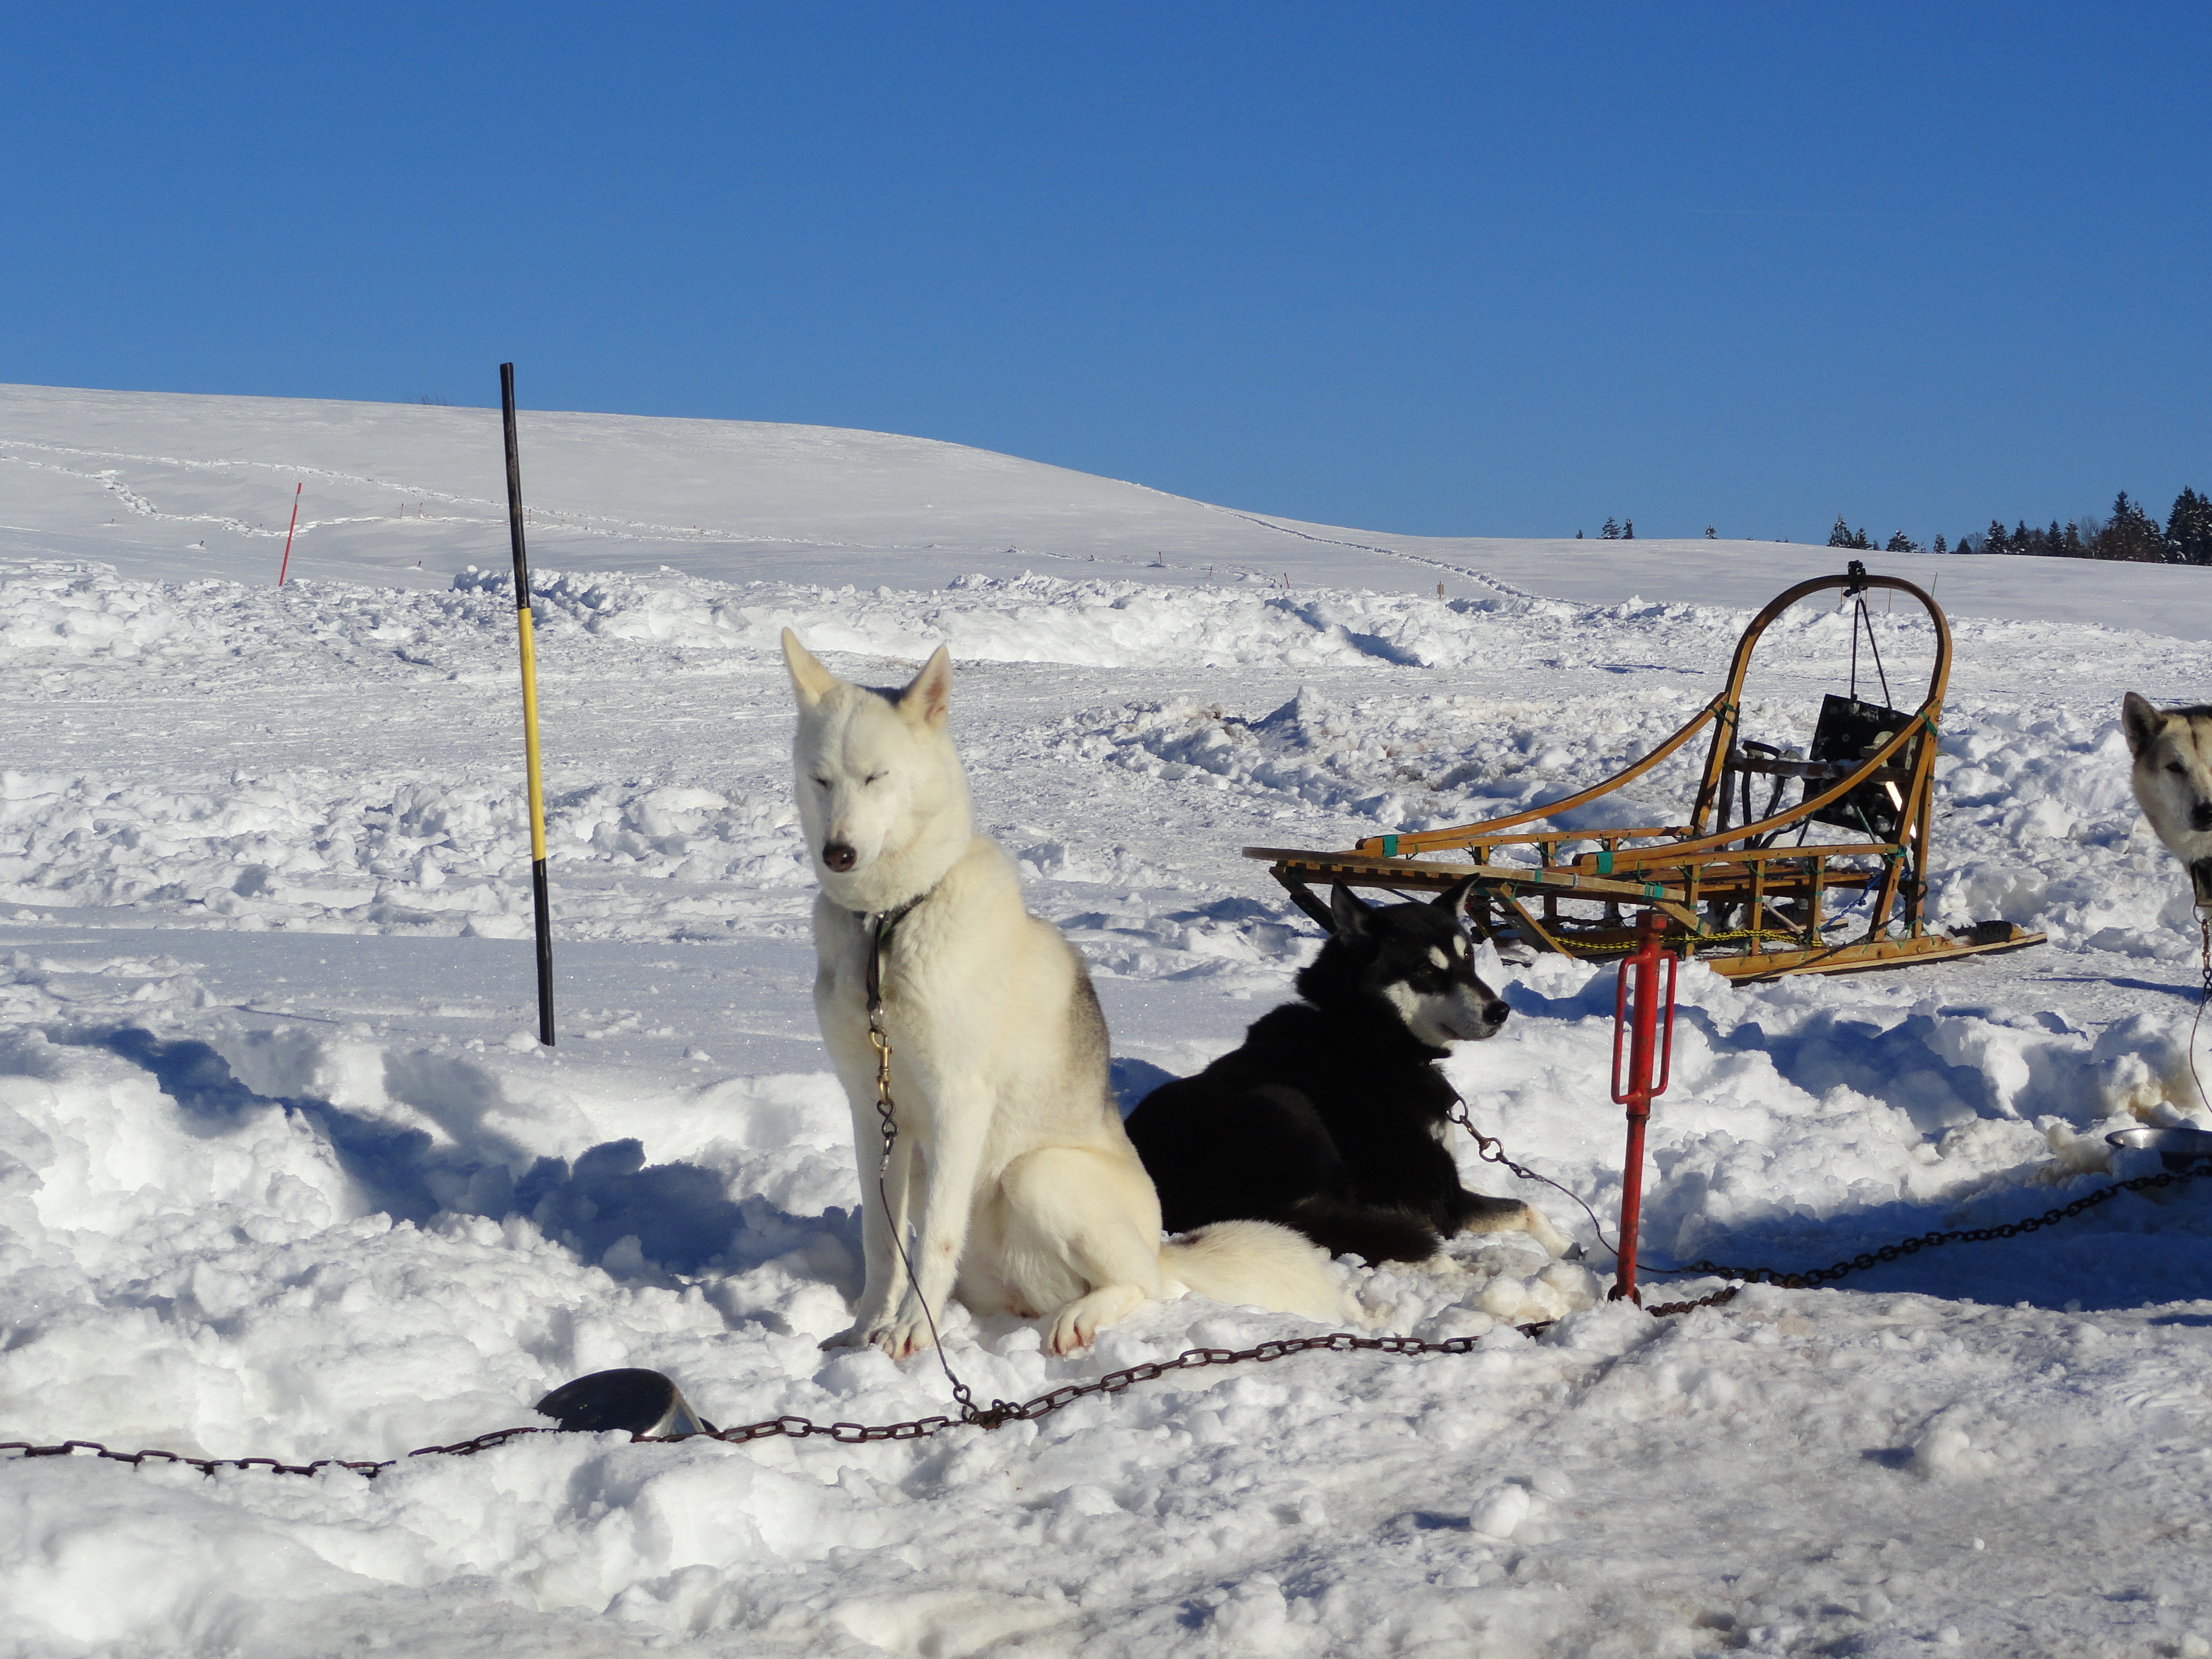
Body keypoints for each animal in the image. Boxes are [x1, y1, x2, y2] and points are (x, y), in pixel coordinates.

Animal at [787, 628, 1354, 1354]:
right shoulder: (871, 1111)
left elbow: (933, 1238)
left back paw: (1082, 1316)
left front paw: (913, 1333)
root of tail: (1160, 1248)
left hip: (1040, 1175)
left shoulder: (957, 1103)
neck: (887, 927)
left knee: (1142, 1288)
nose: (839, 854)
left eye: (876, 777)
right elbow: (882, 1243)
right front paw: (864, 1329)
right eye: (821, 779)